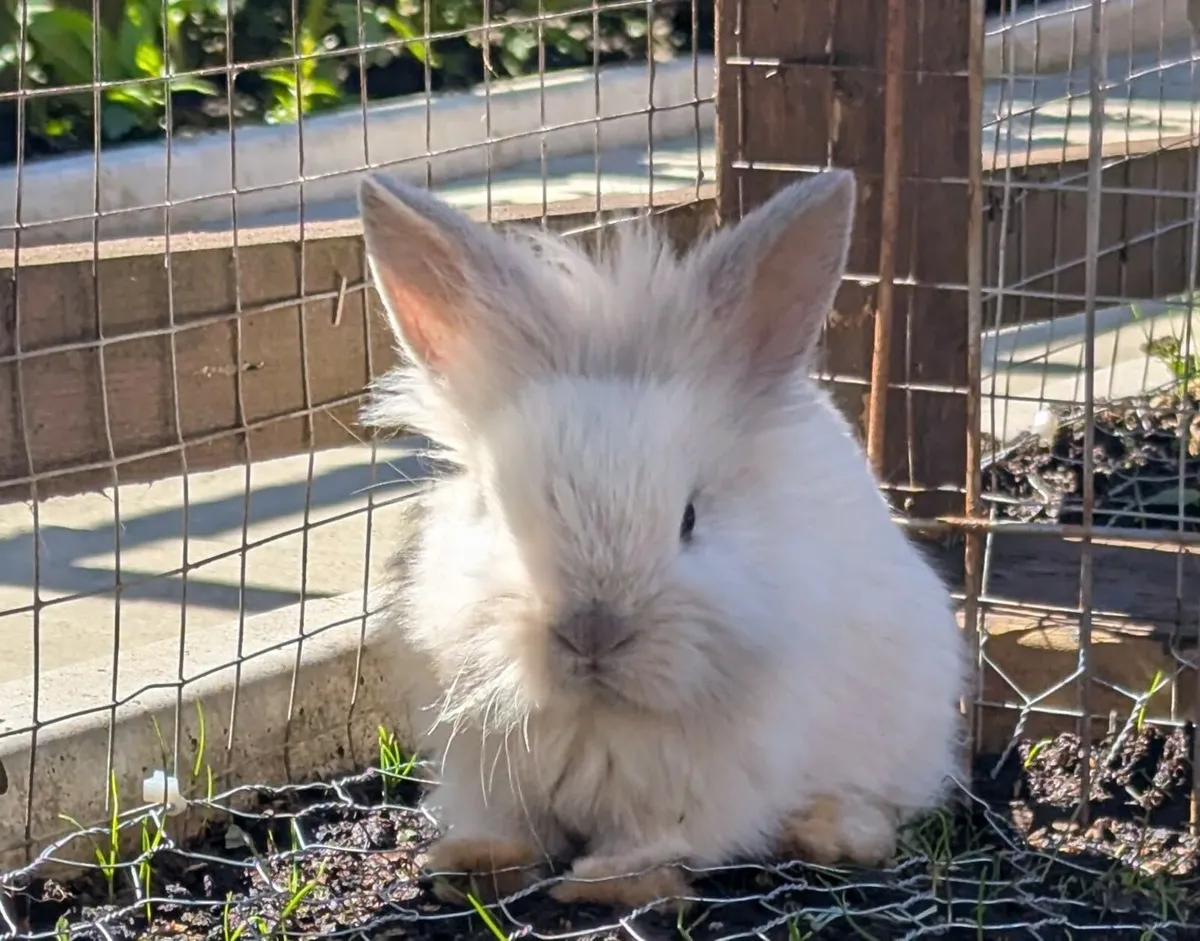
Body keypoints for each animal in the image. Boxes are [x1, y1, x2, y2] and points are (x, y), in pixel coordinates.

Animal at [358, 168, 968, 910]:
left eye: (689, 519)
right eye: (498, 512)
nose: (593, 633)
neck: (599, 715)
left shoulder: (707, 782)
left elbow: (657, 836)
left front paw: (611, 883)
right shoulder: (483, 766)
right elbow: (503, 824)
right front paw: (472, 863)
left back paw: (832, 833)